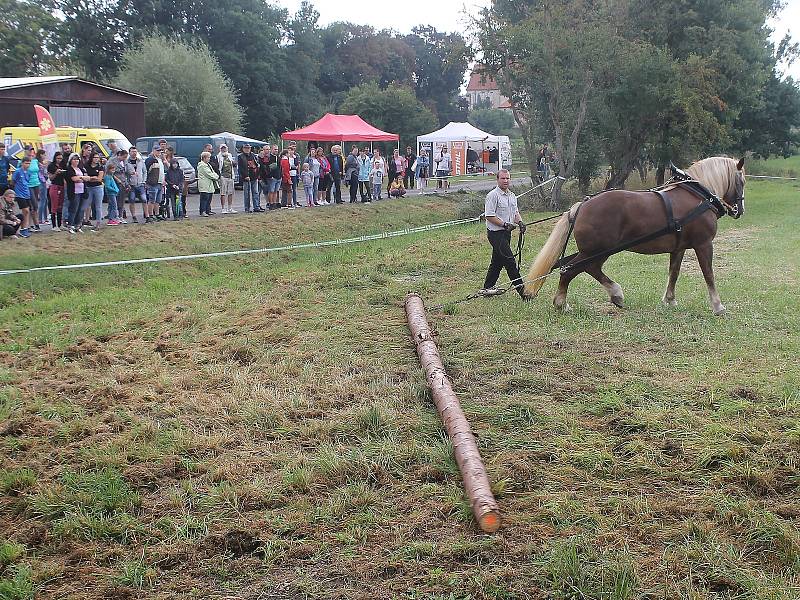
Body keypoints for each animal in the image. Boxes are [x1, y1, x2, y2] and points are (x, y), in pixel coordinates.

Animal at [524, 156, 744, 314]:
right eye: (741, 181)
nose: (739, 210)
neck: (698, 196)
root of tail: (581, 206)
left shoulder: (679, 247)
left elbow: (674, 272)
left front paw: (669, 300)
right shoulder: (703, 244)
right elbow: (709, 274)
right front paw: (717, 306)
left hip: (599, 251)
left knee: (589, 268)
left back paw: (615, 295)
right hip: (597, 250)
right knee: (569, 270)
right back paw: (562, 303)